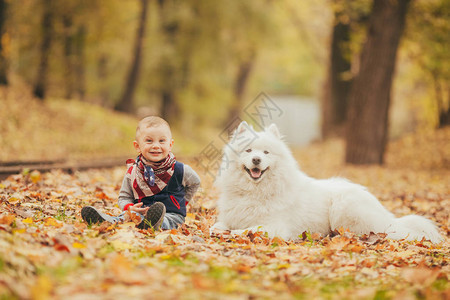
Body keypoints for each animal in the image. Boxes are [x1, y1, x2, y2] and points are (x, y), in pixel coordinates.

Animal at [211, 120, 442, 243]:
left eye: (266, 152)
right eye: (248, 151)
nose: (256, 160)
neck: (255, 191)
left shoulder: (276, 226)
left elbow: (249, 229)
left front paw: (234, 232)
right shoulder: (230, 216)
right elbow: (218, 225)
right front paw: (219, 229)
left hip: (344, 208)